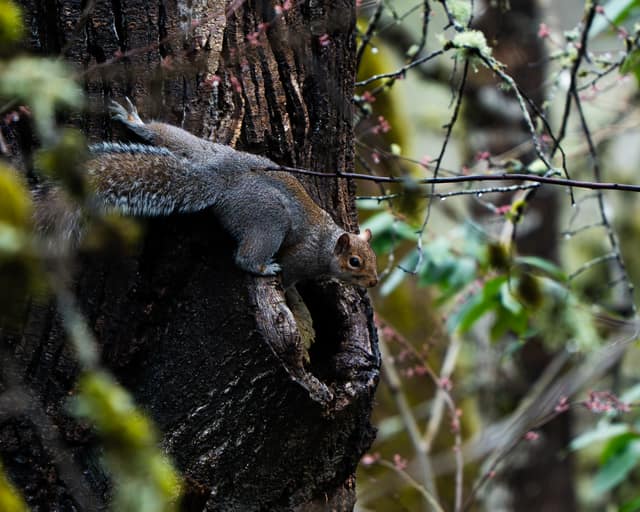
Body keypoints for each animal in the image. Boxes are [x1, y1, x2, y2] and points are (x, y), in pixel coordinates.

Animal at [39, 99, 378, 290]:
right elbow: (291, 280)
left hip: (200, 148)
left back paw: (137, 122)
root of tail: (218, 177)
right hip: (268, 220)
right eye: (355, 262)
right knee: (244, 257)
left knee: (167, 135)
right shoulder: (301, 259)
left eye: (374, 258)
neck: (326, 244)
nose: (373, 282)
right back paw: (262, 267)